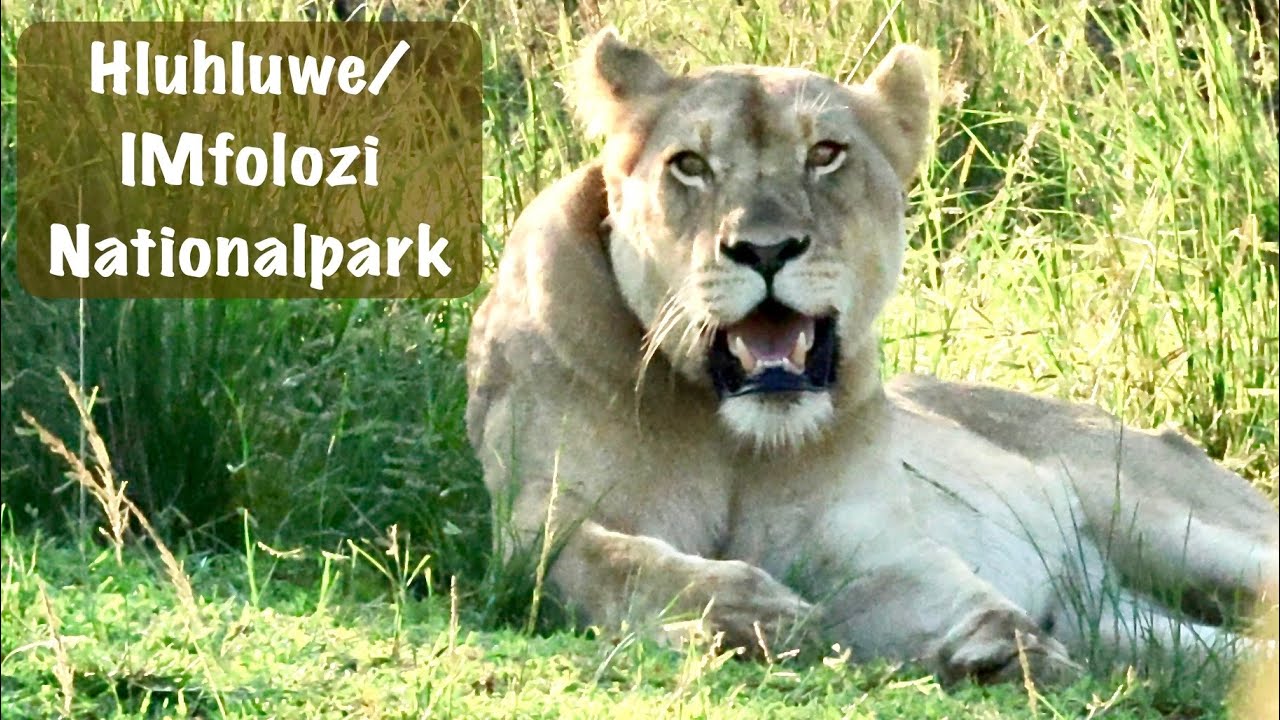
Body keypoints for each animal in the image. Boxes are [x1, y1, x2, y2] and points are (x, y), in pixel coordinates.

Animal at [465, 28, 1280, 684]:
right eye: (689, 165)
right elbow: (604, 560)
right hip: (1133, 628)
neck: (733, 438)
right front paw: (747, 614)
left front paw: (997, 644)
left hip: (1179, 525)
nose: (765, 249)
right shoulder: (530, 519)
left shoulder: (868, 538)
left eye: (825, 154)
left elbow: (928, 586)